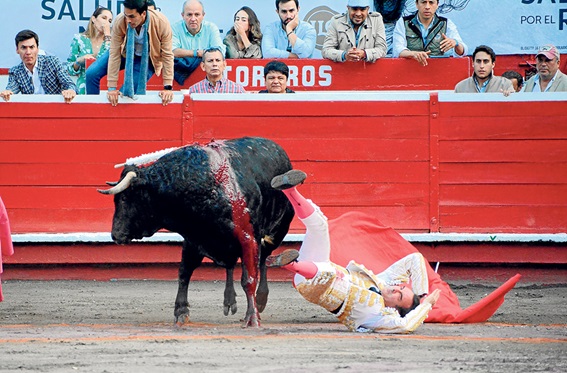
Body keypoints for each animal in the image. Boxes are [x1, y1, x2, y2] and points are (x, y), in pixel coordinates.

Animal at [99, 137, 296, 326]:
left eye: (125, 198)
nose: (115, 234)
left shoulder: (248, 238)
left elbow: (249, 279)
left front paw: (252, 318)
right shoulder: (193, 239)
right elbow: (184, 273)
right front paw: (181, 312)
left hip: (276, 232)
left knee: (263, 261)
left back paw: (260, 299)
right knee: (231, 265)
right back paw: (229, 301)